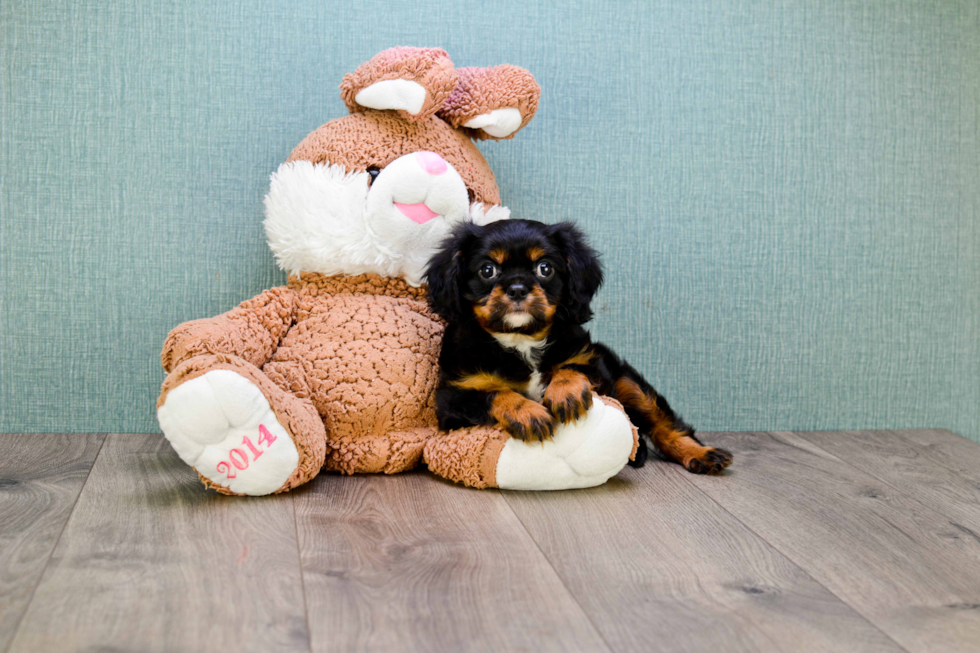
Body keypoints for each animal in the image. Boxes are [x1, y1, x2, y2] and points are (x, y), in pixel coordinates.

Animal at [424, 219, 732, 474]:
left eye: (545, 268)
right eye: (487, 270)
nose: (517, 289)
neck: (521, 340)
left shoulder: (592, 361)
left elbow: (571, 368)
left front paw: (566, 393)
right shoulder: (454, 399)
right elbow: (494, 393)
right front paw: (528, 414)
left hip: (626, 381)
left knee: (664, 423)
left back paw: (702, 454)